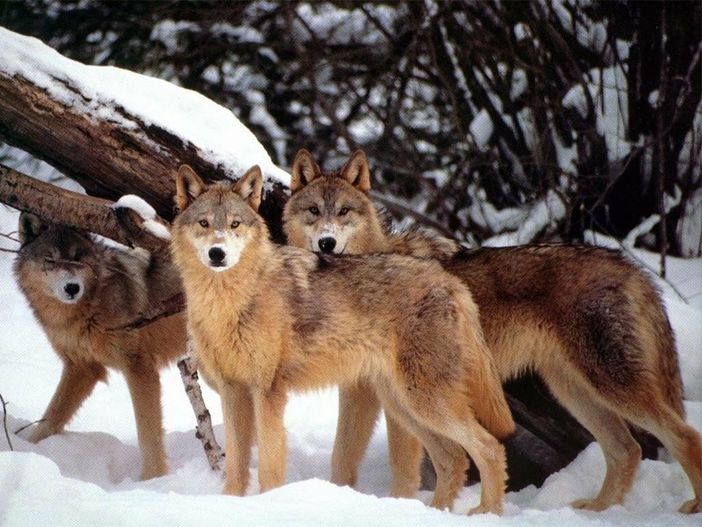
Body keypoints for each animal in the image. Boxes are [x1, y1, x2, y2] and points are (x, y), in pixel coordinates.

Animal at [14, 212, 186, 479]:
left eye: (77, 258)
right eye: (50, 260)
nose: (72, 288)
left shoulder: (139, 368)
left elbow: (148, 433)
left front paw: (152, 479)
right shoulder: (82, 368)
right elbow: (50, 419)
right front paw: (27, 449)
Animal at [170, 164, 515, 515]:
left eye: (234, 224)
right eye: (204, 223)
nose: (217, 253)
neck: (230, 303)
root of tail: (449, 280)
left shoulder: (268, 393)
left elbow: (268, 464)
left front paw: (270, 503)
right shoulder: (232, 392)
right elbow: (236, 468)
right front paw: (230, 504)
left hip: (425, 401)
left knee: (489, 447)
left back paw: (486, 512)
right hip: (404, 405)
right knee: (453, 458)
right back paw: (435, 512)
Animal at [282, 149, 702, 514]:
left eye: (344, 211)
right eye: (314, 211)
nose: (326, 243)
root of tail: (630, 267)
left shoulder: (388, 401)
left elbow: (402, 466)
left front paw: (400, 505)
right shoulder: (362, 392)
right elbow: (342, 457)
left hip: (611, 387)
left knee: (682, 436)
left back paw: (689, 505)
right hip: (574, 391)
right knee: (626, 449)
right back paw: (599, 510)